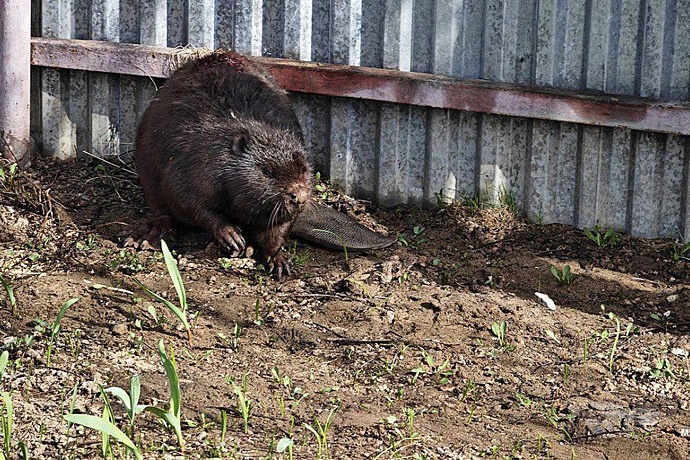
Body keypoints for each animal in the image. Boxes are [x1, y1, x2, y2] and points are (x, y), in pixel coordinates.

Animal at [126, 49, 312, 276]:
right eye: (266, 171)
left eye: (303, 169)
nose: (299, 196)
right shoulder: (194, 163)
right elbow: (185, 198)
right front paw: (232, 236)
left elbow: (278, 227)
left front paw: (279, 260)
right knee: (163, 214)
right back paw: (146, 238)